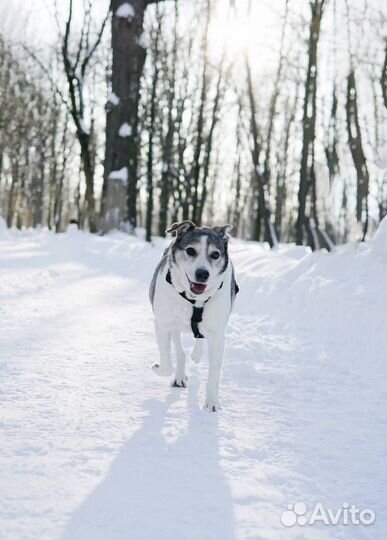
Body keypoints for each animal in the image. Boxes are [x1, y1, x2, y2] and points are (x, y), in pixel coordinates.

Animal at [149, 221, 238, 412]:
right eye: (190, 250)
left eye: (215, 254)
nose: (202, 274)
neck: (194, 300)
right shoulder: (162, 324)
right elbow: (166, 364)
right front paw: (159, 368)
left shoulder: (218, 335)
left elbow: (214, 371)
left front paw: (212, 403)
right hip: (173, 324)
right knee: (179, 348)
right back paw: (179, 375)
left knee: (199, 337)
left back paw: (196, 354)